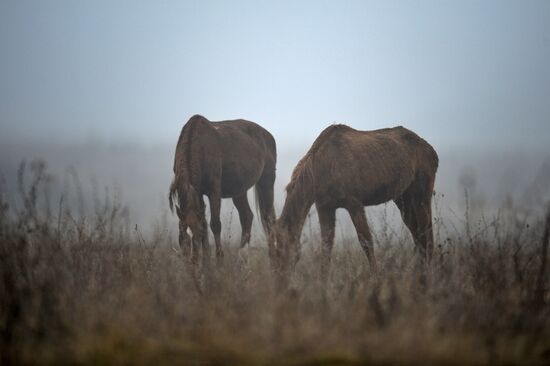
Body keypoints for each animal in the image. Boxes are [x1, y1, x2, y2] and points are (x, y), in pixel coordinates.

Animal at [168, 114, 278, 266]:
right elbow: (204, 223)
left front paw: (219, 260)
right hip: (239, 190)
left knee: (269, 219)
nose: (192, 262)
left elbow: (215, 224)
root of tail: (268, 136)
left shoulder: (214, 191)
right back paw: (241, 258)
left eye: (196, 236)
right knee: (247, 217)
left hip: (266, 182)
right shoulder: (198, 193)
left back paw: (273, 259)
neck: (198, 144)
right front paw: (206, 263)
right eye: (182, 236)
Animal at [274, 124, 442, 278]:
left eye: (285, 249)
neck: (319, 170)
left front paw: (375, 278)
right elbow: (326, 246)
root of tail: (433, 152)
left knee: (426, 237)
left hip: (421, 196)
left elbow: (366, 241)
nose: (280, 281)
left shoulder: (354, 203)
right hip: (404, 201)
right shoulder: (325, 207)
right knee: (418, 237)